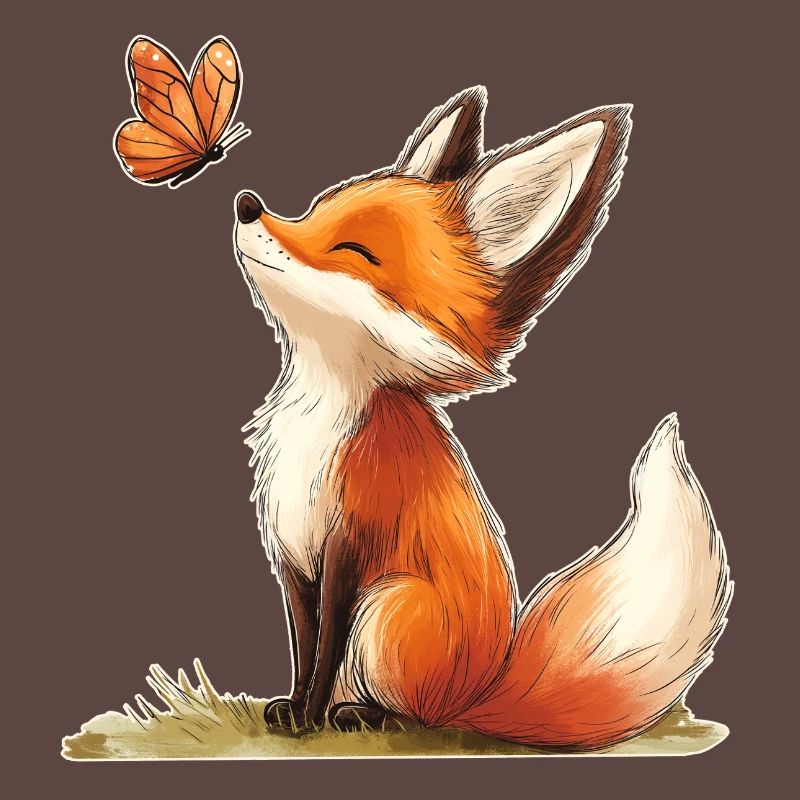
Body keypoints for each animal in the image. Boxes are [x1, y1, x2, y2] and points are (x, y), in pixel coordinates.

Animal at [232, 86, 732, 750]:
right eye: (314, 211)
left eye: (355, 252)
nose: (246, 205)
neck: (319, 420)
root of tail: (481, 690)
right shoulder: (290, 553)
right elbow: (303, 645)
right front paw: (290, 708)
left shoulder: (349, 548)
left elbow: (325, 646)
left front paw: (307, 720)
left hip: (389, 608)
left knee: (419, 713)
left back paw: (365, 716)